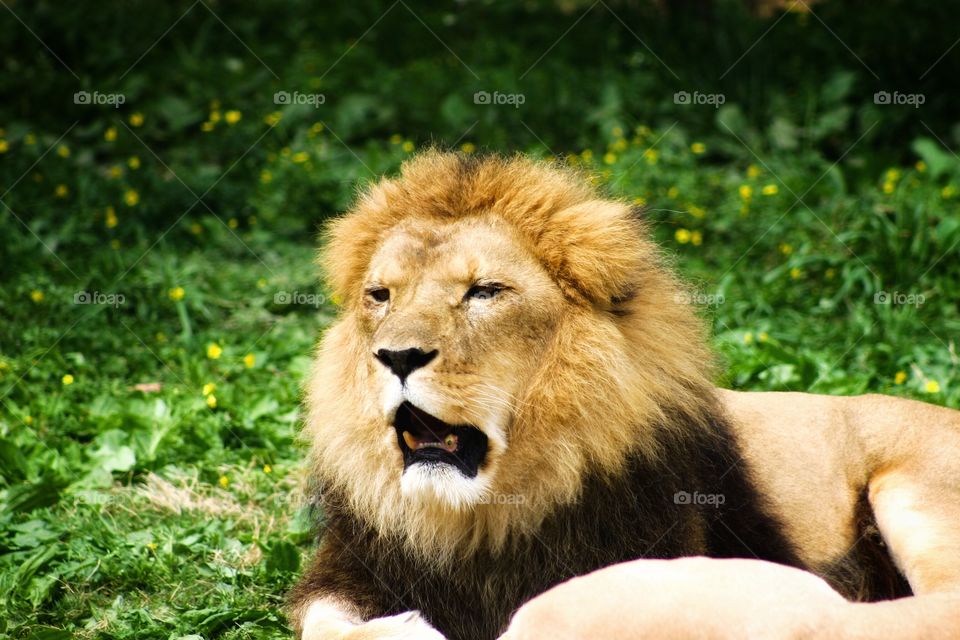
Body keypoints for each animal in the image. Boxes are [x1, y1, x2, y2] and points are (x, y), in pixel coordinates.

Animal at [288, 151, 960, 640]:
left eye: (484, 292)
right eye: (381, 296)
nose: (397, 356)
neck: (481, 520)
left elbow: (553, 610)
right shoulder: (352, 570)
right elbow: (321, 621)